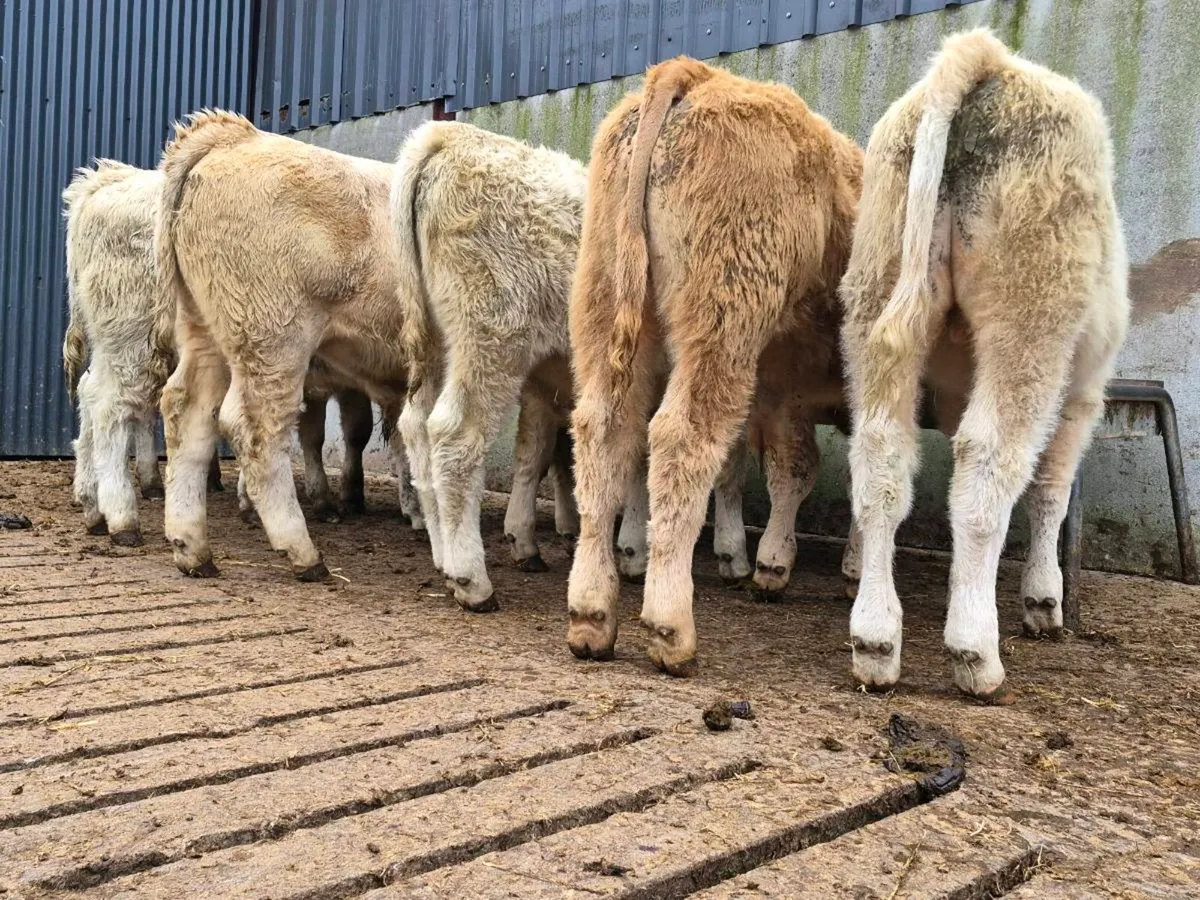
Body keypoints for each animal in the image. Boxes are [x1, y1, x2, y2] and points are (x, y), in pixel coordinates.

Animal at [565, 57, 863, 675]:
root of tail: (695, 76)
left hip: (607, 306)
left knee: (605, 434)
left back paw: (591, 615)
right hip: (723, 321)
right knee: (681, 437)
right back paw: (670, 627)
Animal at [839, 29, 1129, 701]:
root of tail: (985, 58)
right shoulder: (1084, 395)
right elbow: (1052, 491)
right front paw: (1044, 599)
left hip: (877, 293)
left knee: (881, 458)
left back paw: (876, 639)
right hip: (1031, 314)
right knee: (988, 463)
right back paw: (975, 651)